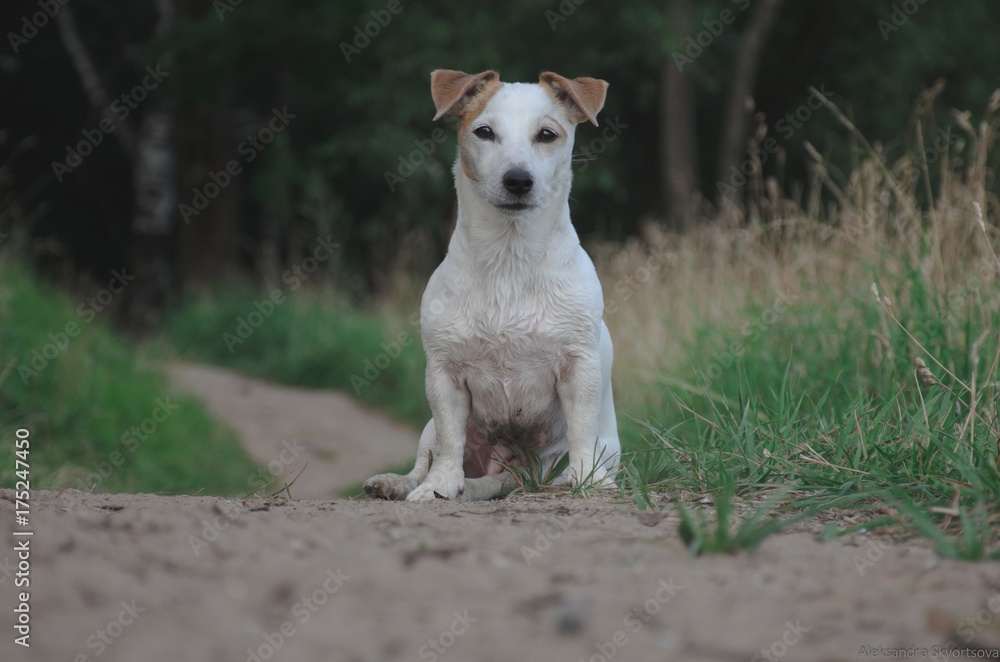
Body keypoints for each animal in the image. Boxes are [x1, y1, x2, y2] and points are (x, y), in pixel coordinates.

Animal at [364, 68, 620, 504]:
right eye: (484, 132)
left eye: (547, 135)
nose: (518, 180)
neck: (509, 259)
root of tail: (512, 470)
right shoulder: (444, 375)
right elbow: (450, 442)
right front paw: (439, 486)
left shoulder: (579, 369)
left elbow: (582, 430)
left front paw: (588, 479)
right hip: (428, 429)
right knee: (427, 459)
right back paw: (401, 484)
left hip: (562, 456)